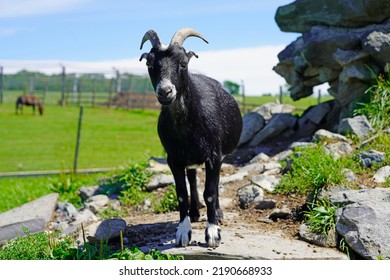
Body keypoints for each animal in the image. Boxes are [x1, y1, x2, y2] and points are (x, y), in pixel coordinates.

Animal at [140, 27, 242, 247]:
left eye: (183, 63)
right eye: (149, 64)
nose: (165, 91)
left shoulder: (214, 156)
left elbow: (210, 193)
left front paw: (212, 233)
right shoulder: (174, 159)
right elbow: (181, 194)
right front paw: (183, 232)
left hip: (219, 155)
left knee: (213, 184)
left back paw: (217, 213)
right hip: (190, 158)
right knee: (193, 179)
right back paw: (195, 212)